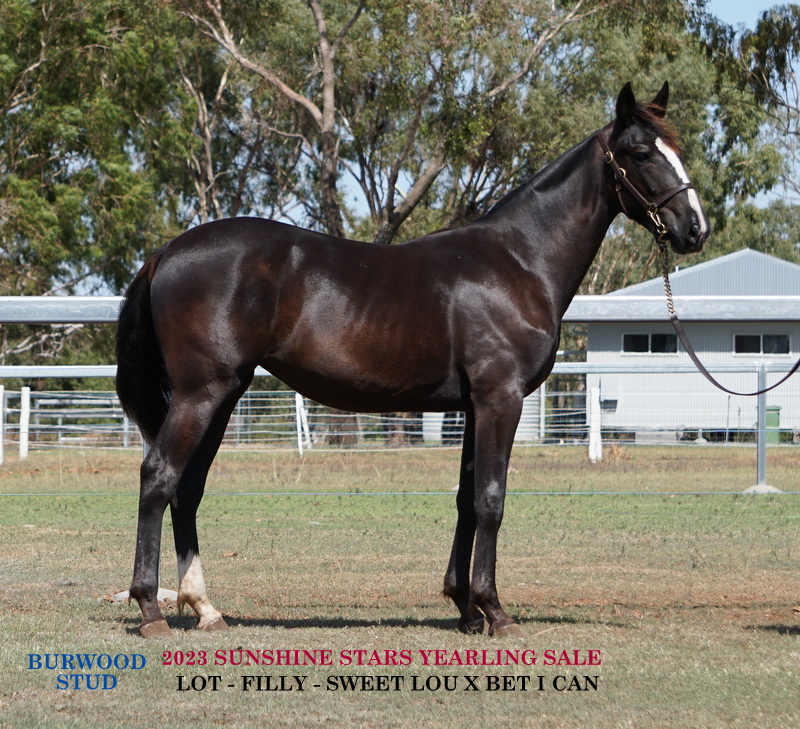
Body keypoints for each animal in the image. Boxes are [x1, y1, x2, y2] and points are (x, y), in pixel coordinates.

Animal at [116, 82, 709, 638]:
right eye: (641, 152)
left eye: (675, 147)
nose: (695, 229)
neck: (519, 260)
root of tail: (166, 251)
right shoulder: (501, 398)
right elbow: (491, 498)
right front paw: (495, 610)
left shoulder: (474, 406)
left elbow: (467, 499)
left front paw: (465, 608)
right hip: (202, 394)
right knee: (159, 477)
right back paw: (150, 608)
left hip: (224, 394)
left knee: (188, 488)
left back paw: (205, 607)